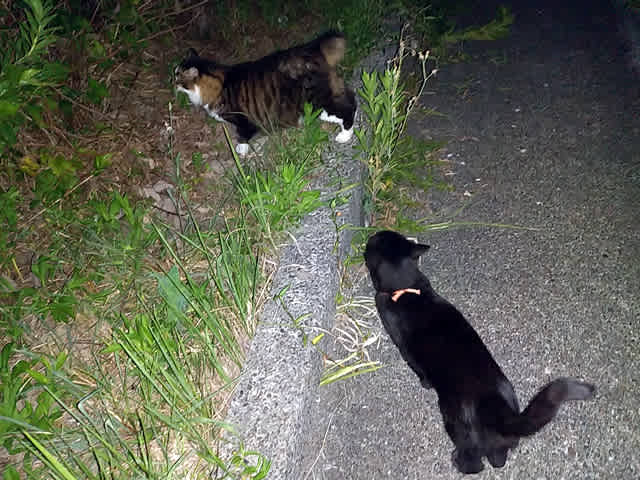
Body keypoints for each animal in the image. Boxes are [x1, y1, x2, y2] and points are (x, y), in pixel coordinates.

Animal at [174, 31, 356, 156]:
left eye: (177, 75)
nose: (173, 82)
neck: (219, 84)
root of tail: (311, 48)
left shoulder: (244, 119)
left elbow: (242, 135)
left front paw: (241, 150)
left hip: (318, 99)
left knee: (347, 108)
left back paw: (344, 136)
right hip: (318, 101)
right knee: (350, 98)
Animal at [363, 230, 596, 474]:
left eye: (372, 243)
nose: (371, 235)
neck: (408, 287)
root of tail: (498, 409)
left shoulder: (403, 345)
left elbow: (418, 369)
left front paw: (424, 384)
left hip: (456, 424)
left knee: (476, 462)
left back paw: (458, 462)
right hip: (501, 441)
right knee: (498, 460)